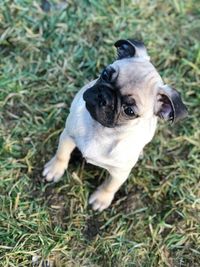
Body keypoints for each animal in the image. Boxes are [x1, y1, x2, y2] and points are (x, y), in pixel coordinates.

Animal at [42, 39, 188, 211]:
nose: (103, 97)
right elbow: (62, 154)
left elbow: (110, 186)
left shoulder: (120, 172)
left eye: (129, 111)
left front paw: (101, 199)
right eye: (105, 74)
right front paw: (55, 169)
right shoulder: (67, 136)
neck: (101, 130)